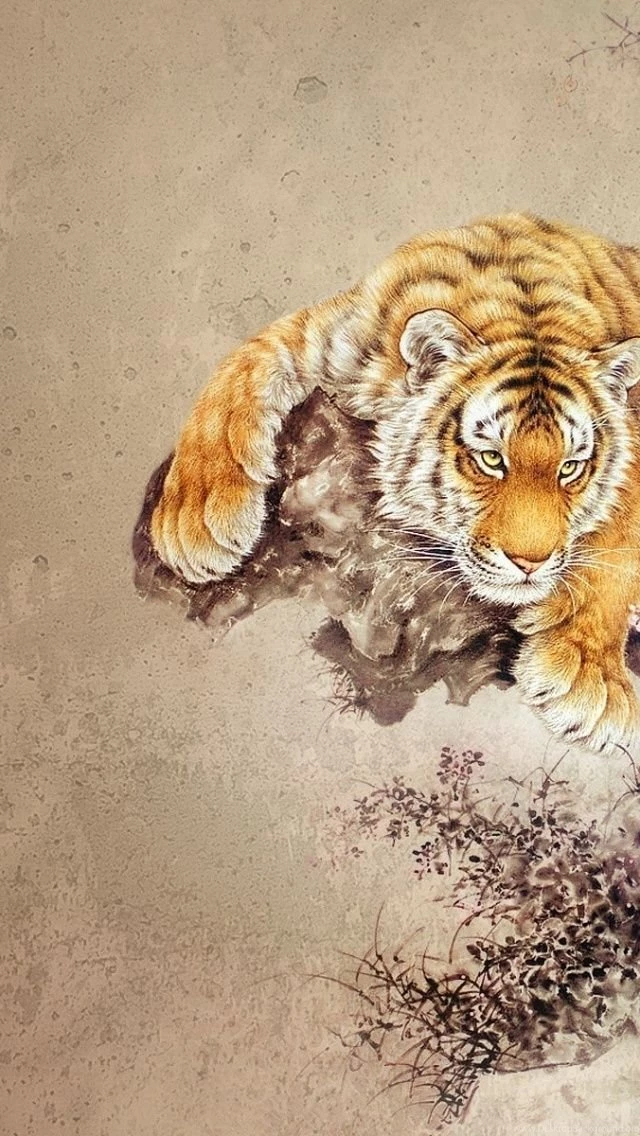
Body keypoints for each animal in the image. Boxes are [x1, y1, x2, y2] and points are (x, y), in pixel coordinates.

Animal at [149, 212, 640, 754]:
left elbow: (619, 545)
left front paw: (588, 677)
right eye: (491, 459)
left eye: (570, 468)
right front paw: (191, 524)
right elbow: (236, 373)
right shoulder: (328, 335)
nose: (530, 563)